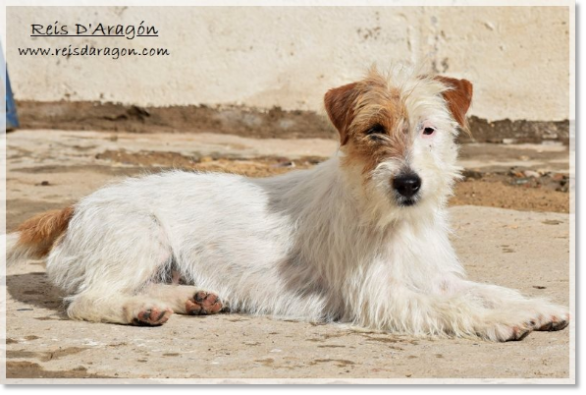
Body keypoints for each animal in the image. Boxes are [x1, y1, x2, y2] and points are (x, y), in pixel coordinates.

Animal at [5, 66, 564, 342]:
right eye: (374, 130)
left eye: (428, 129)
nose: (409, 183)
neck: (388, 216)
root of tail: (74, 207)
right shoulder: (379, 296)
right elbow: (452, 305)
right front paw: (502, 323)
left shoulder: (432, 274)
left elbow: (485, 289)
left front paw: (536, 307)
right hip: (141, 233)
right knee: (87, 300)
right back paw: (138, 309)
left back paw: (188, 299)